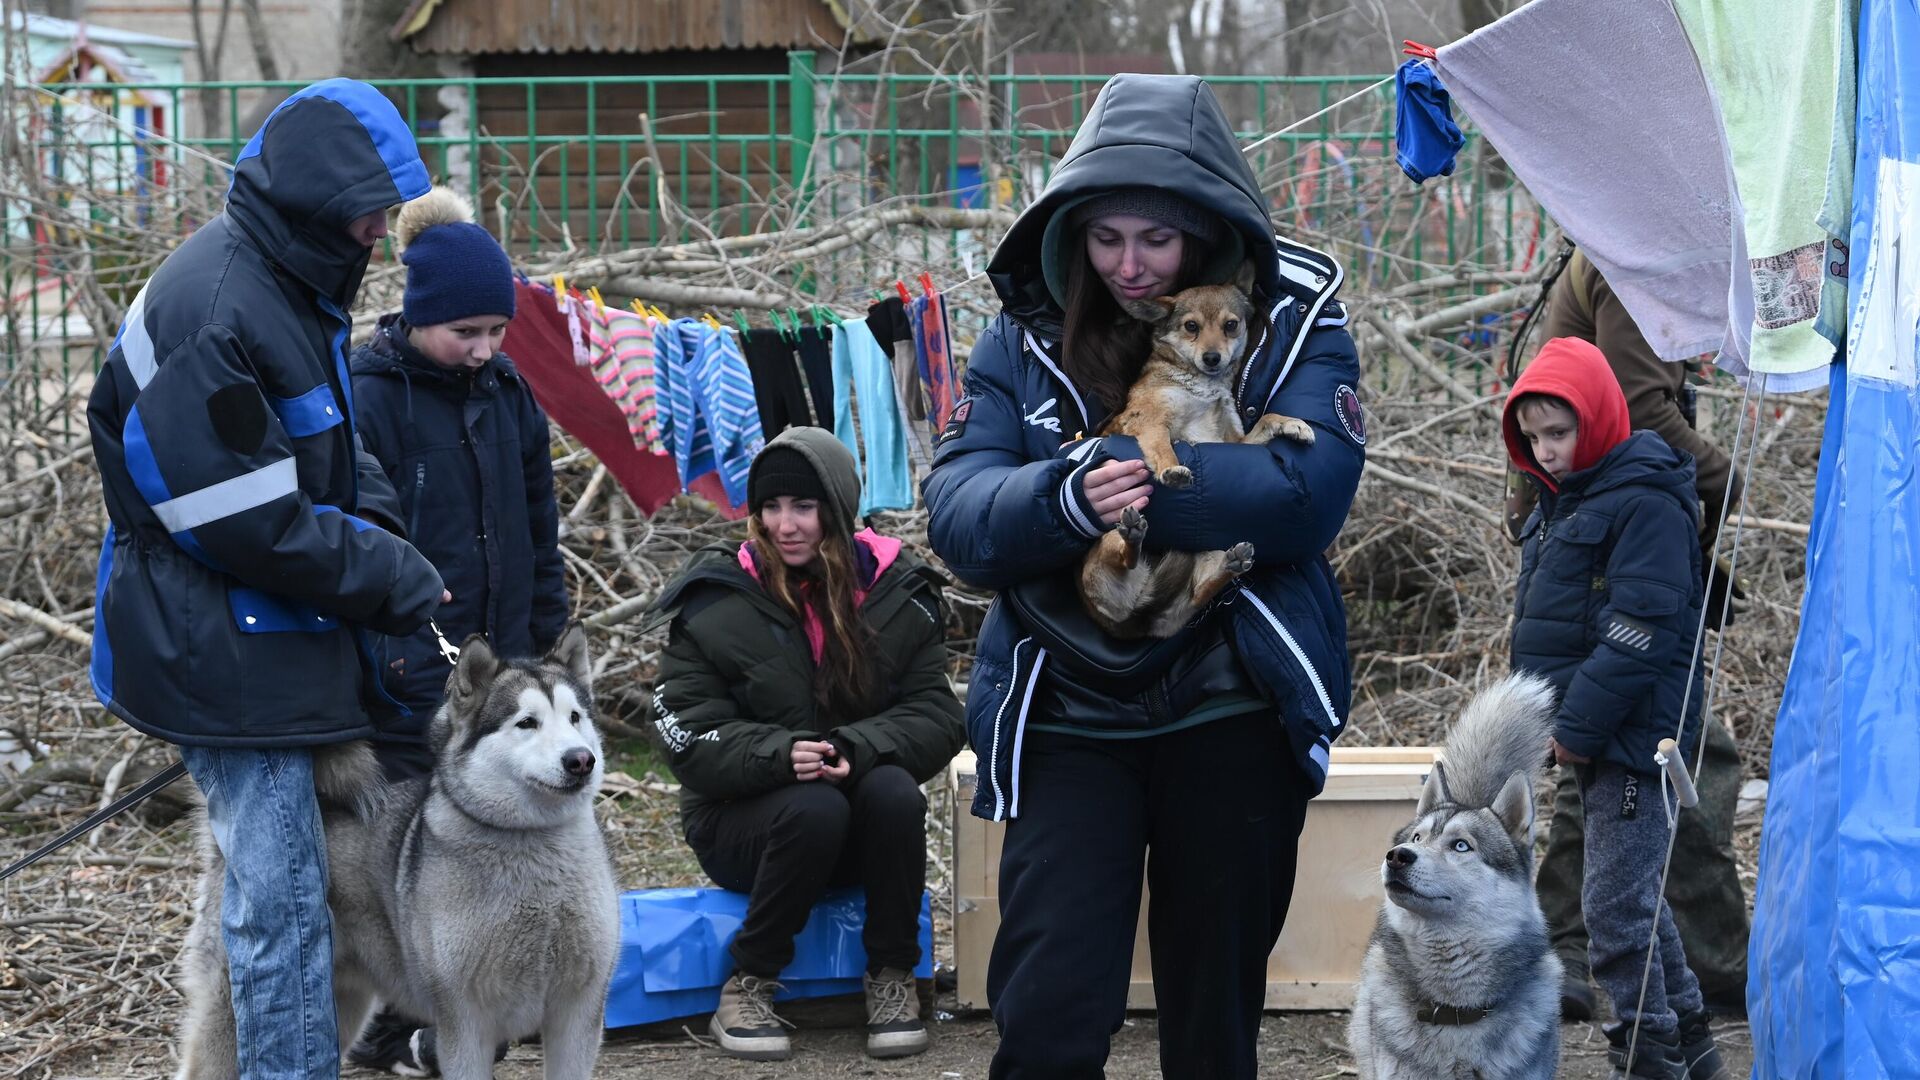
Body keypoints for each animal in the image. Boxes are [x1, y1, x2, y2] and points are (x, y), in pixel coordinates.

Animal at [177, 622, 618, 1076]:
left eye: (575, 717)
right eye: (527, 722)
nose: (580, 760)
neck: (531, 841)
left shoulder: (577, 1014)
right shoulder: (466, 1024)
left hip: (341, 1008)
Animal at [1082, 267, 1320, 638]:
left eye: (1231, 325)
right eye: (1191, 326)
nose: (1212, 358)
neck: (1204, 387)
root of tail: (1141, 615)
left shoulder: (1231, 442)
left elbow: (1267, 419)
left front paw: (1293, 425)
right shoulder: (1151, 421)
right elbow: (1163, 447)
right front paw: (1172, 469)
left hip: (1201, 564)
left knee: (1199, 593)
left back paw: (1231, 565)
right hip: (1107, 543)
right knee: (1123, 556)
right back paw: (1134, 534)